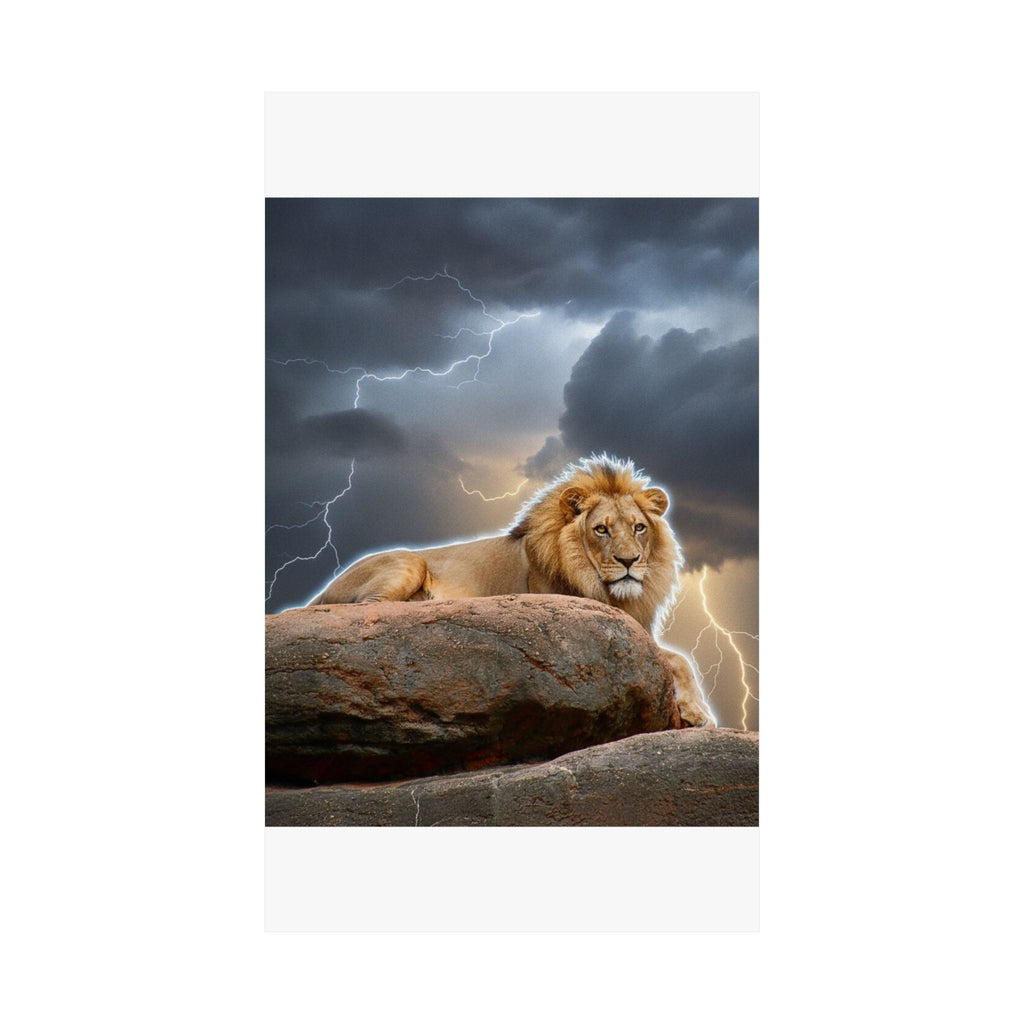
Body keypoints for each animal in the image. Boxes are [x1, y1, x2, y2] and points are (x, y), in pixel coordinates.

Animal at [309, 454, 714, 727]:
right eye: (601, 529)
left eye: (638, 528)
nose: (629, 561)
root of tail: (324, 588)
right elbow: (675, 658)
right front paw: (699, 713)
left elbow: (682, 659)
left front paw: (697, 712)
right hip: (408, 563)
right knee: (371, 609)